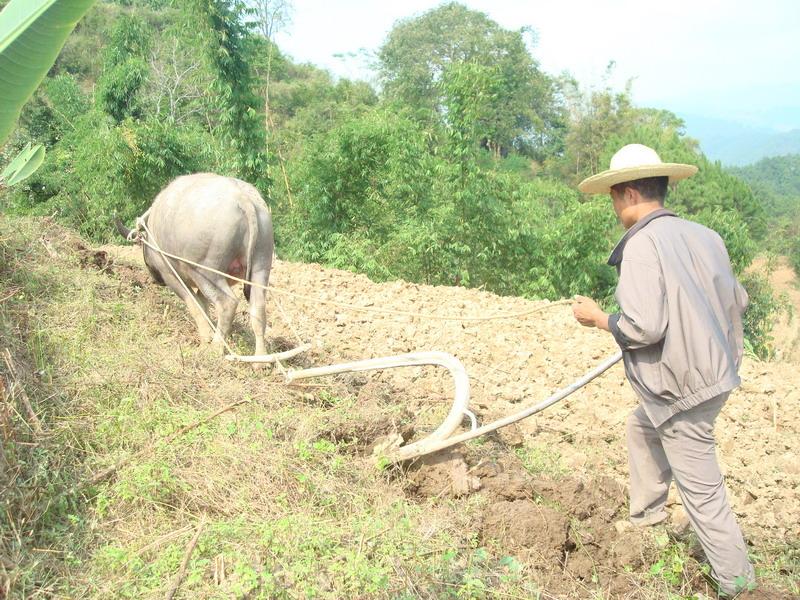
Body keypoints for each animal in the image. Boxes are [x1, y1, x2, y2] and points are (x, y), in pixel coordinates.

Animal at [114, 172, 274, 356]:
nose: (156, 279)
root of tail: (243, 199)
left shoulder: (171, 275)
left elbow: (194, 304)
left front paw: (206, 338)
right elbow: (203, 304)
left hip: (206, 272)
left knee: (228, 303)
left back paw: (216, 347)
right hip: (261, 266)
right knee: (258, 307)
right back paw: (261, 357)